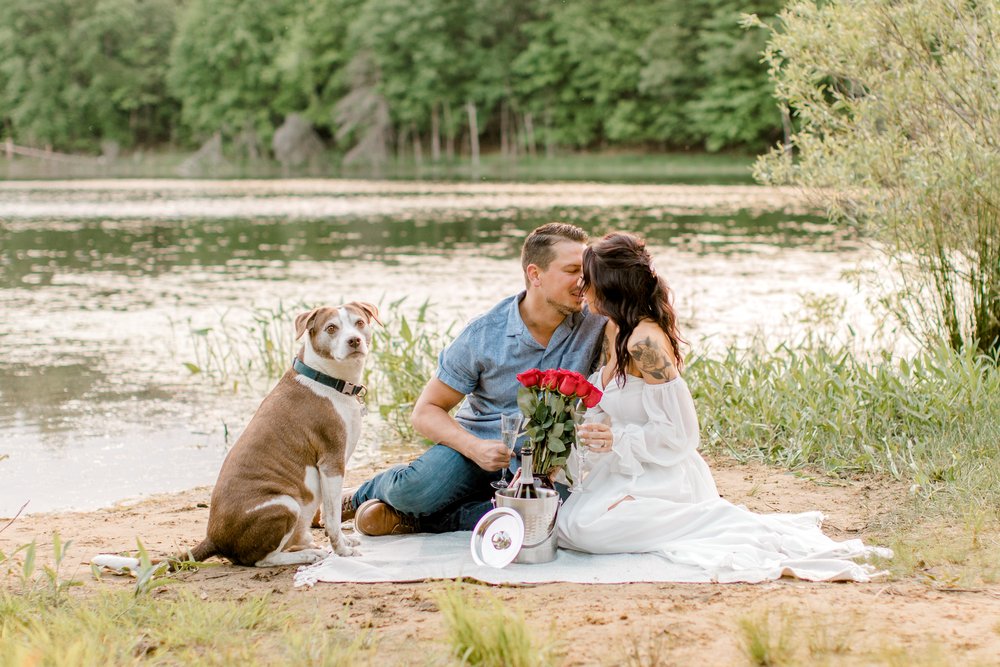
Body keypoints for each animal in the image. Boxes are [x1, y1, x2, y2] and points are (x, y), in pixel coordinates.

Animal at [93, 302, 378, 568]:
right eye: (331, 328)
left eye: (359, 323)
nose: (354, 340)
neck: (324, 378)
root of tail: (214, 538)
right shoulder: (331, 463)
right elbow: (332, 516)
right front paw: (342, 550)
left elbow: (329, 513)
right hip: (284, 504)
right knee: (259, 560)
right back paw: (307, 554)